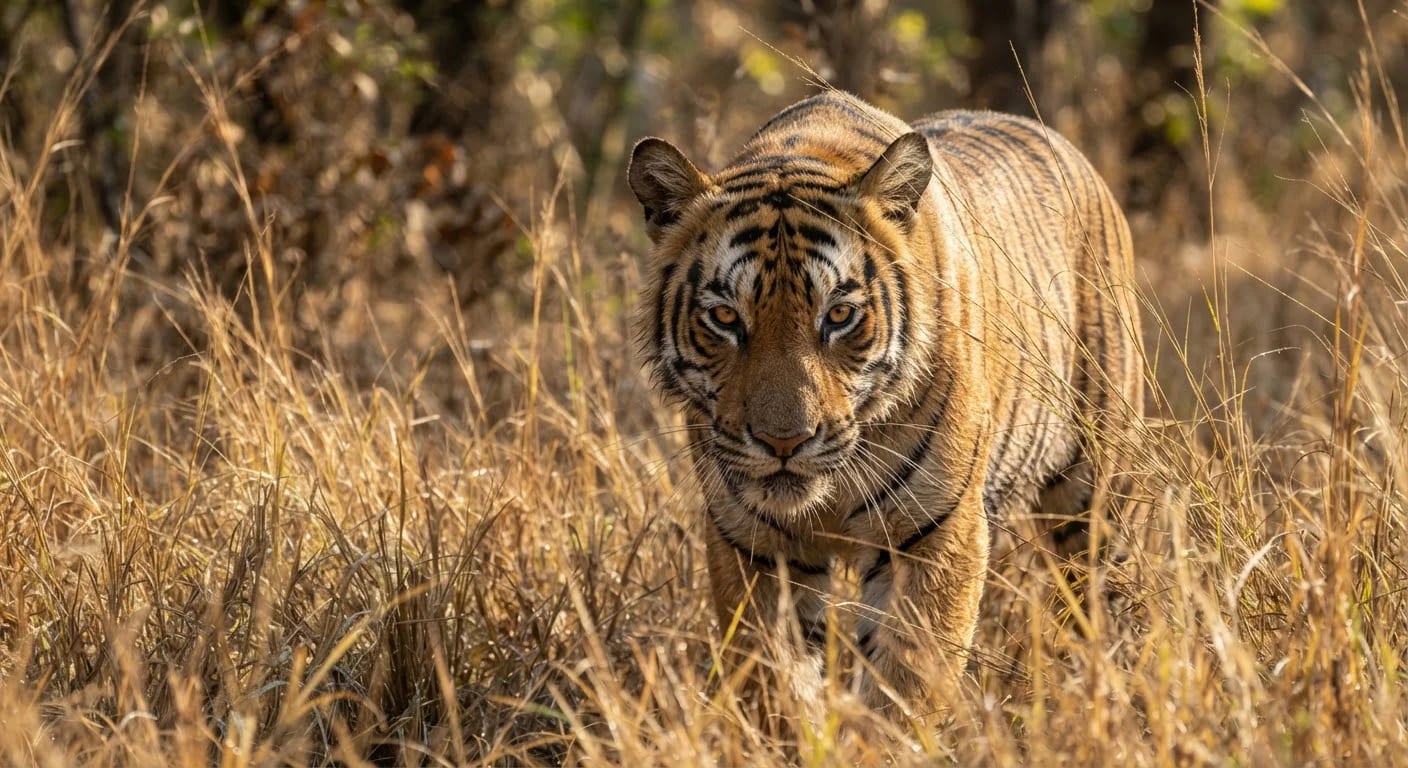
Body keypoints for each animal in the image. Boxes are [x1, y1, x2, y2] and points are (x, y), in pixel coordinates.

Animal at [628, 90, 1143, 723]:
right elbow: (773, 679)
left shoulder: (934, 531)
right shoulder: (753, 542)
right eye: (725, 317)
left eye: (839, 315)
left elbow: (905, 683)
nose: (783, 443)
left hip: (1096, 494)